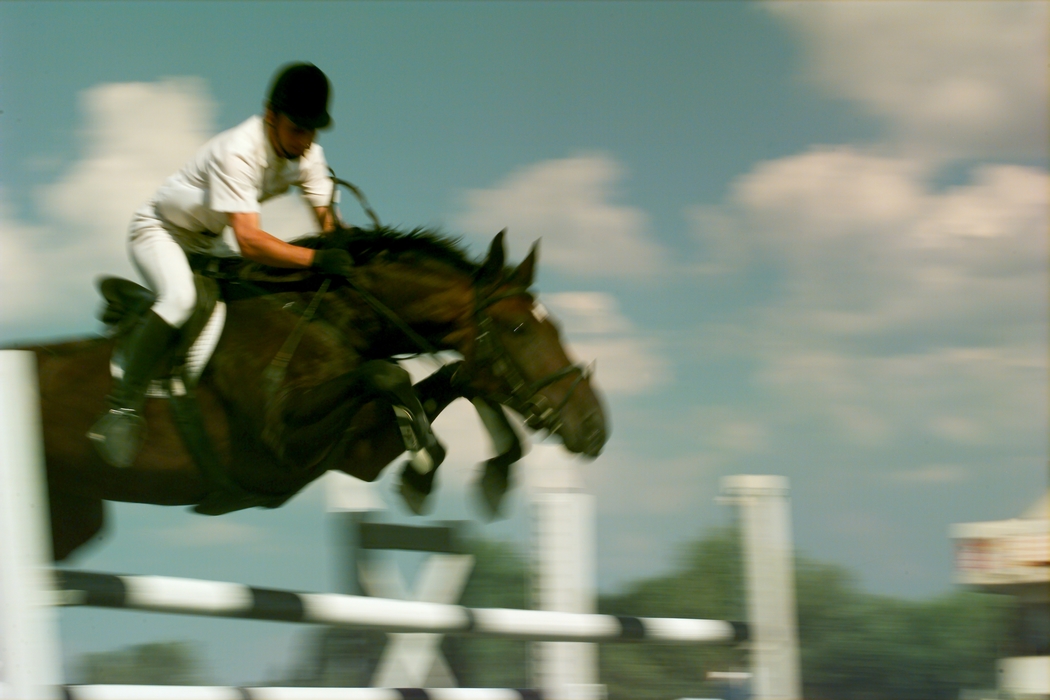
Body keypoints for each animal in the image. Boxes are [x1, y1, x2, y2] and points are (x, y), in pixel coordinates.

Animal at [24, 227, 609, 562]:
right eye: (519, 329)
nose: (596, 429)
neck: (331, 318)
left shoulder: (354, 455)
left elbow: (456, 377)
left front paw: (491, 470)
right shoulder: (281, 440)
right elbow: (390, 377)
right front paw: (426, 466)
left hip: (71, 515)